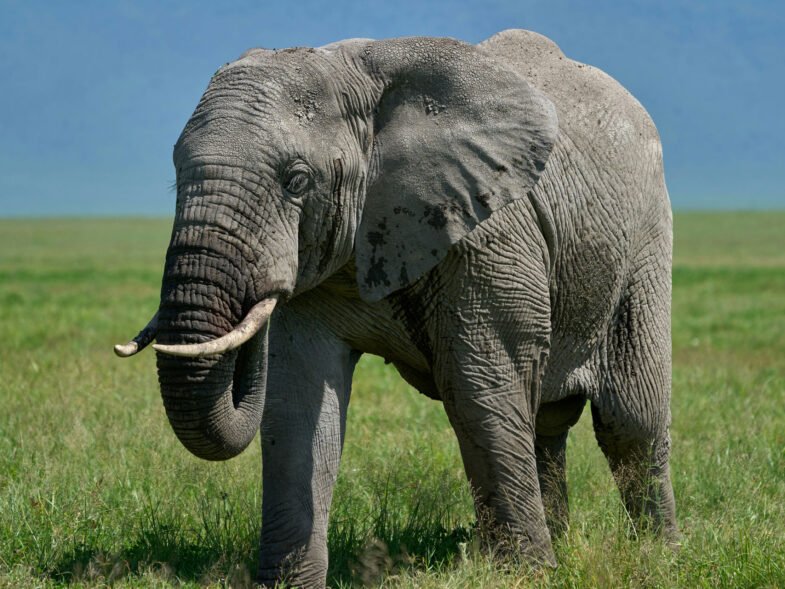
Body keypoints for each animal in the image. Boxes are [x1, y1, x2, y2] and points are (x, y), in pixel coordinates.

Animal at [115, 29, 672, 584]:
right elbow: (297, 402)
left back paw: (658, 554)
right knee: (546, 421)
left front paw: (526, 578)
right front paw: (289, 585)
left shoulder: (487, 236)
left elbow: (481, 390)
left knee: (630, 422)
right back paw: (566, 542)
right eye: (175, 176)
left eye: (297, 181)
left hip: (644, 242)